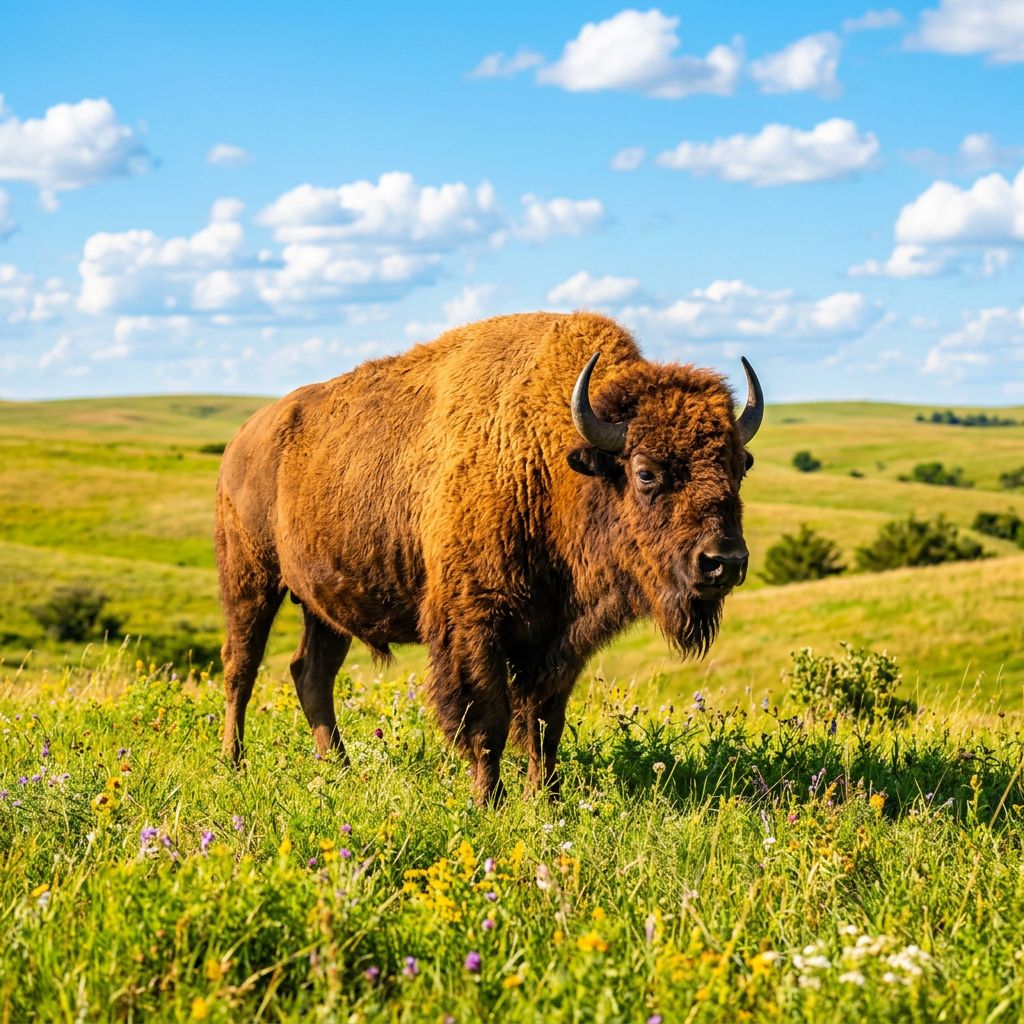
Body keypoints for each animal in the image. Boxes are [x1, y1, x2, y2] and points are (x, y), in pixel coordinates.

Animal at [216, 311, 762, 804]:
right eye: (646, 472)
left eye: (739, 467)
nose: (724, 562)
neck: (551, 461)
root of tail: (242, 437)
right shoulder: (474, 624)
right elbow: (486, 720)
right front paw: (489, 802)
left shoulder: (558, 640)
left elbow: (544, 722)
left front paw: (546, 798)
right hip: (250, 579)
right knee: (241, 667)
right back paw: (234, 762)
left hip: (323, 604)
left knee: (312, 674)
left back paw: (340, 767)